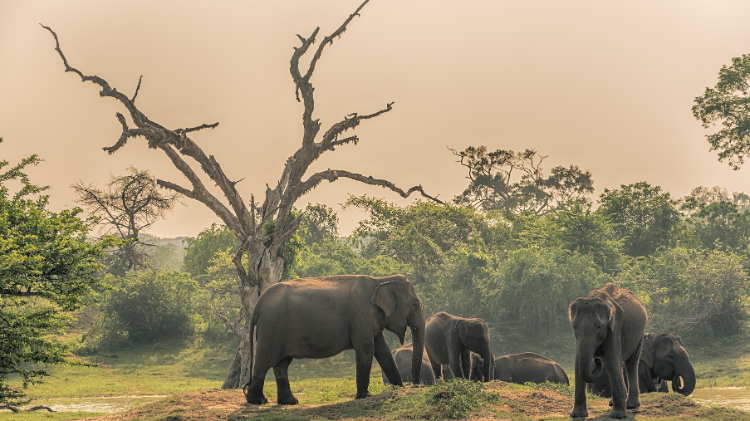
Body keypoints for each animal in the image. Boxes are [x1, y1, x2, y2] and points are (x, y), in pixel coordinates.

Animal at [244, 274, 426, 406]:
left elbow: (383, 349)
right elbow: (365, 348)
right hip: (272, 328)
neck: (380, 280)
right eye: (415, 305)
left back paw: (289, 402)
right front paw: (365, 396)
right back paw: (257, 401)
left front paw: (399, 388)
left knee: (281, 364)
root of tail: (259, 302)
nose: (418, 385)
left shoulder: (370, 318)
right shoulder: (361, 315)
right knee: (265, 360)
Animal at [568, 282, 648, 416]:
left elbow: (612, 361)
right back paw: (614, 403)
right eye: (574, 326)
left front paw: (618, 416)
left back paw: (631, 405)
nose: (596, 360)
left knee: (631, 362)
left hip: (640, 334)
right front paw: (578, 415)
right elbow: (577, 363)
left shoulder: (615, 327)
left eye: (599, 327)